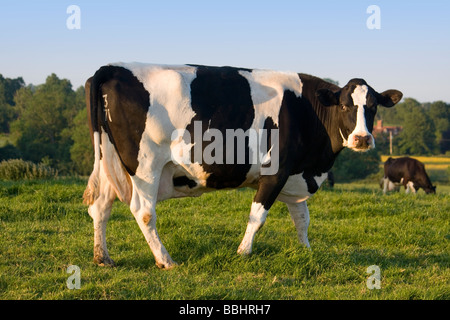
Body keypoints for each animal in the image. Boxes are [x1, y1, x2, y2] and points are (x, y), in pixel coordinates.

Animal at [82, 62, 402, 268]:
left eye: (373, 107)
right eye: (346, 106)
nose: (362, 139)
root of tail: (113, 67)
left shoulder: (296, 175)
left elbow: (302, 218)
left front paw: (306, 251)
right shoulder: (276, 171)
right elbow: (257, 216)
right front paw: (243, 252)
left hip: (110, 160)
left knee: (100, 206)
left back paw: (103, 258)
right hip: (145, 164)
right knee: (144, 212)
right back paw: (166, 260)